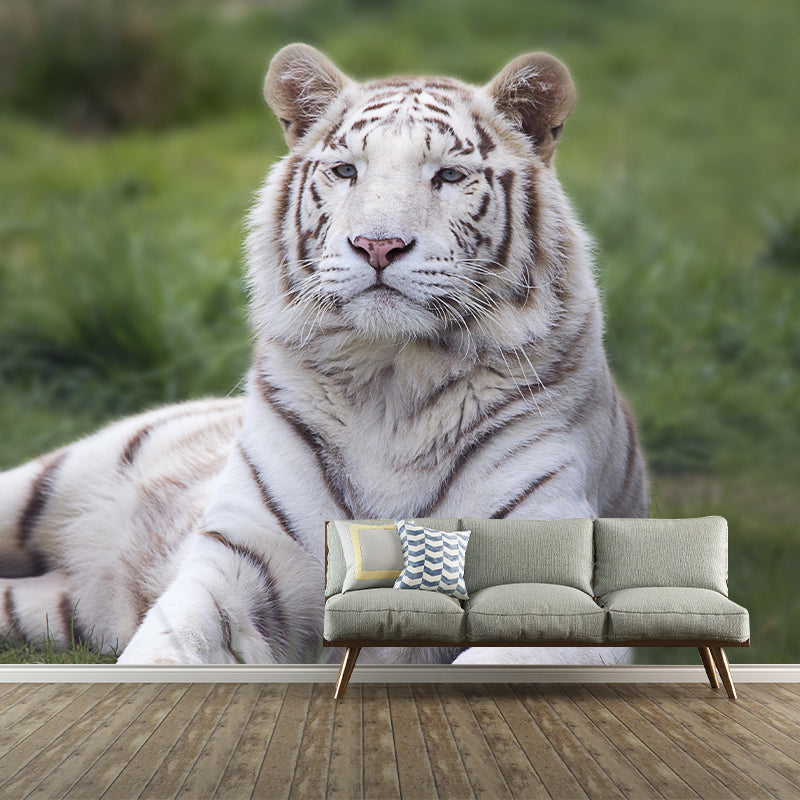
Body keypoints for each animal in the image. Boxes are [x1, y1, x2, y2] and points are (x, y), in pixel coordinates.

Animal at [0, 44, 648, 666]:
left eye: (449, 174)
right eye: (345, 170)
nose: (378, 245)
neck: (391, 383)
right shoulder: (246, 555)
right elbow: (170, 643)